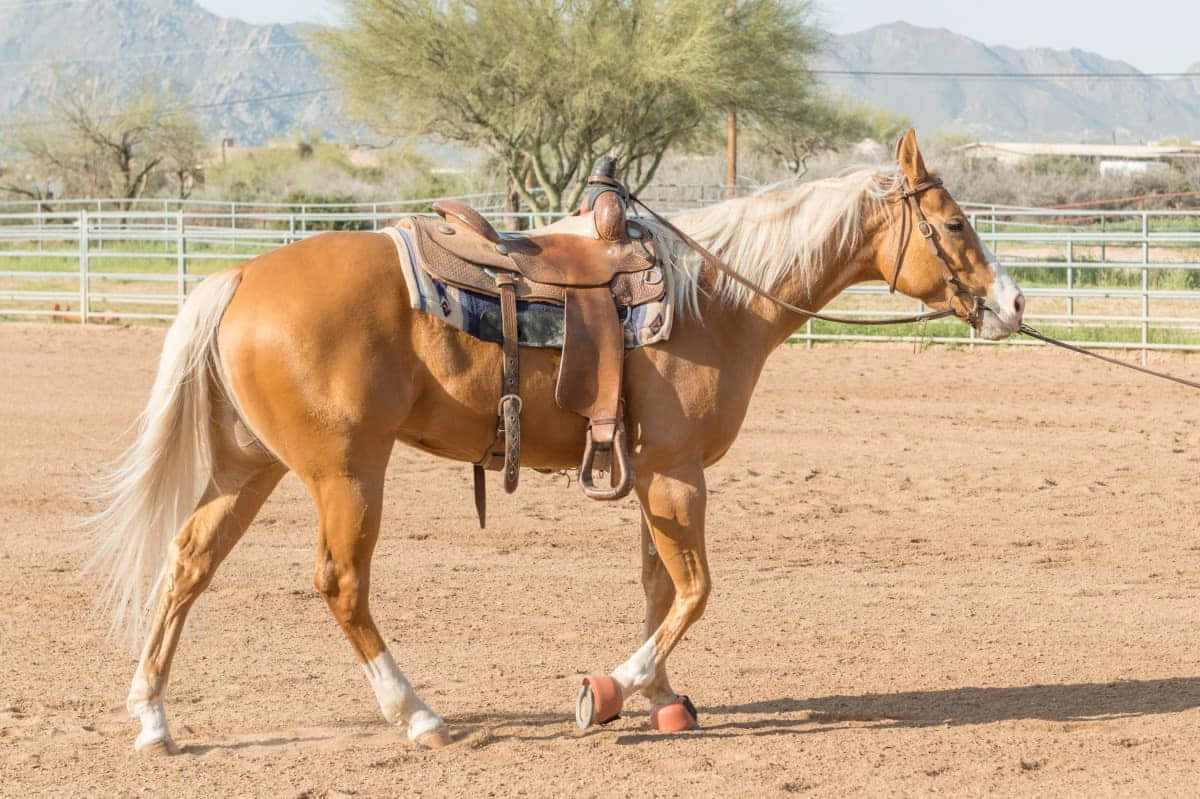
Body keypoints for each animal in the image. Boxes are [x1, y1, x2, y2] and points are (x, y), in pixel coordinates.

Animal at [90, 130, 1025, 753]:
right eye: (953, 224)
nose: (1013, 304)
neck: (713, 299)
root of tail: (241, 275)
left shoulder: (652, 473)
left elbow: (659, 584)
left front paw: (664, 697)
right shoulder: (677, 473)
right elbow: (695, 590)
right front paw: (606, 690)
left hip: (249, 466)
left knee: (188, 563)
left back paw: (153, 718)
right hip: (345, 471)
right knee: (341, 584)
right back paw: (418, 714)